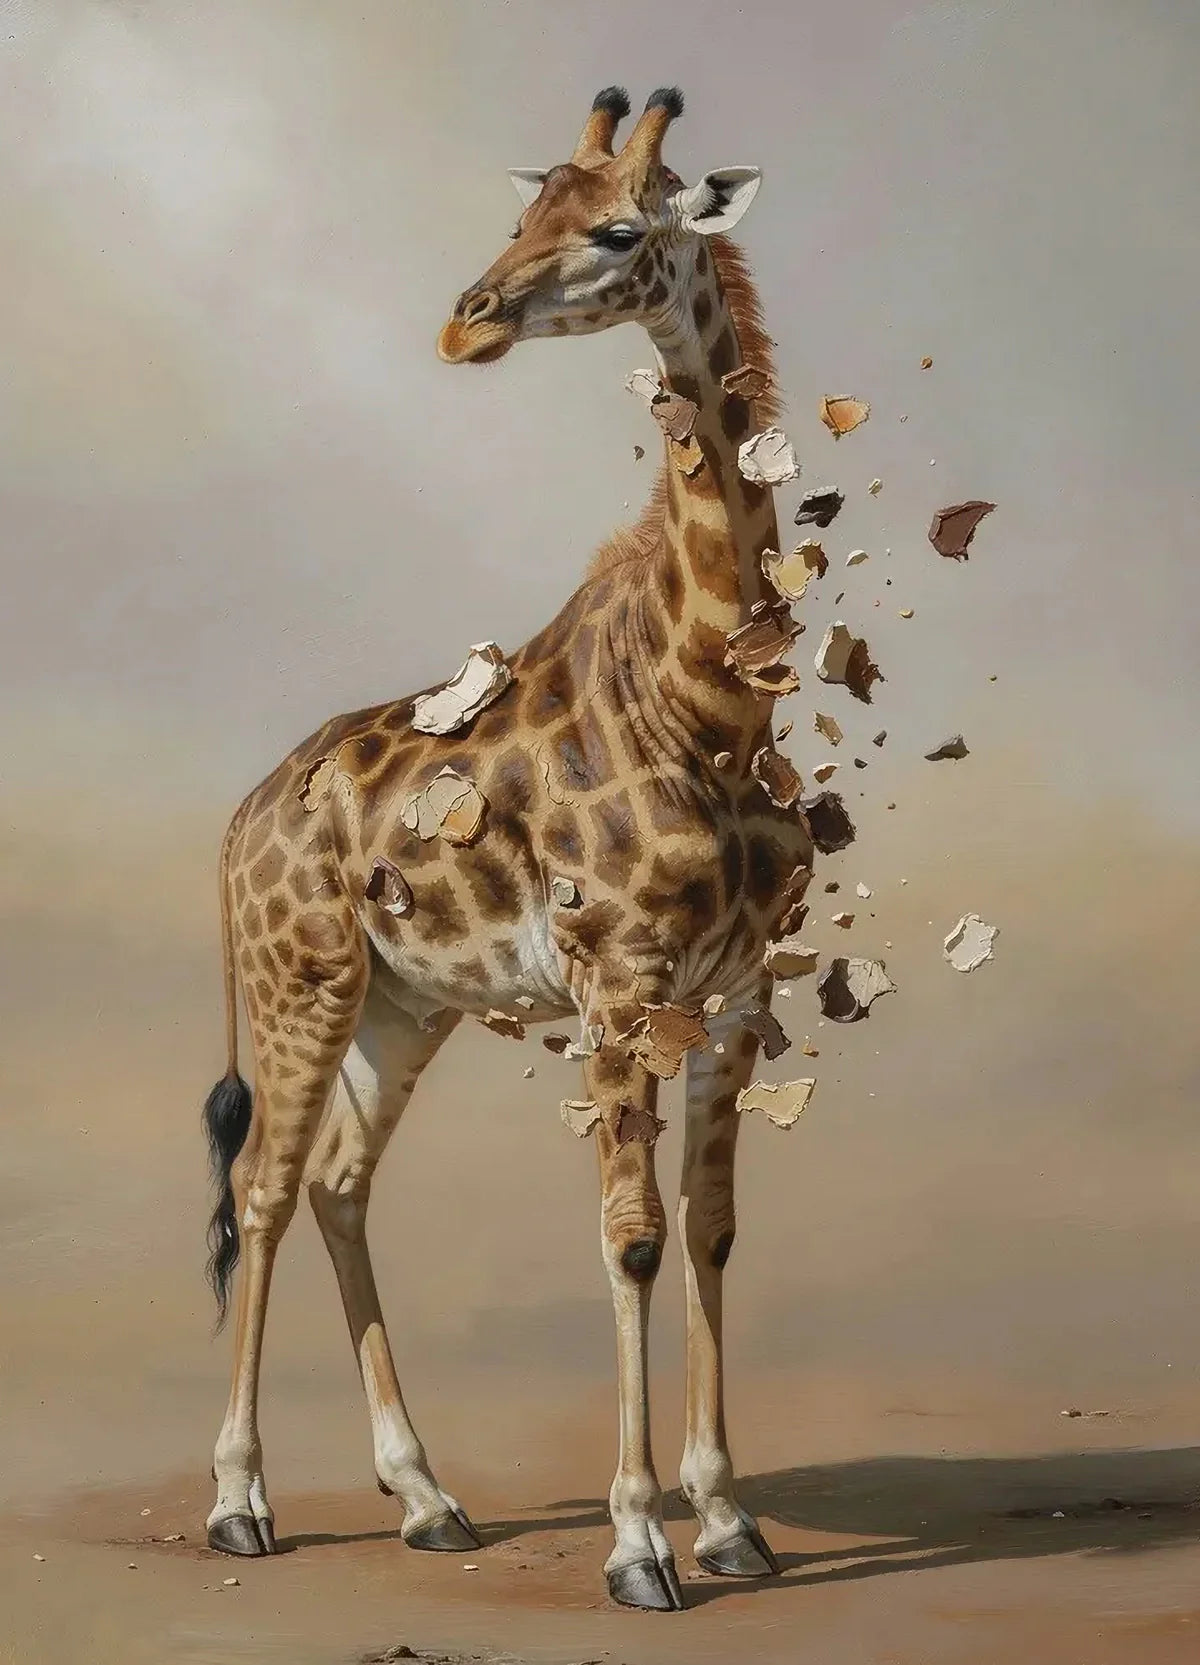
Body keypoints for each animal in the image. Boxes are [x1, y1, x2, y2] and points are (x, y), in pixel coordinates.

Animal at [201, 85, 818, 1612]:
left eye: (615, 228)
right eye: (523, 210)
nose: (465, 320)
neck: (712, 703)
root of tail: (243, 812)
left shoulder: (735, 994)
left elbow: (710, 1230)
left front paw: (729, 1519)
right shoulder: (618, 982)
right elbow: (631, 1238)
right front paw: (641, 1543)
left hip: (402, 1004)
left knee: (340, 1187)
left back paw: (429, 1500)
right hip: (301, 986)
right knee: (262, 1191)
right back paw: (239, 1502)